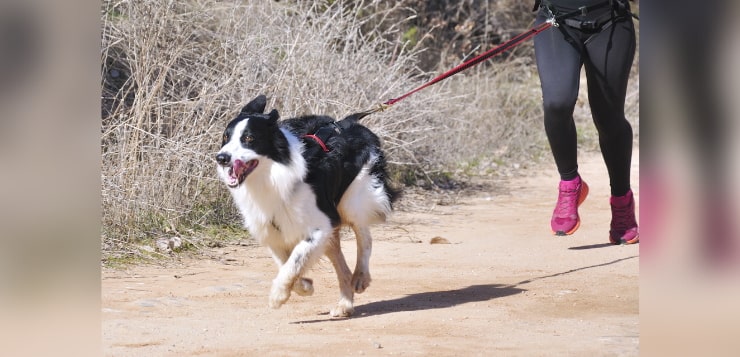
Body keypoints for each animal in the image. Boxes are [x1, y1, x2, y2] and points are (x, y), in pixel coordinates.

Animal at [214, 94, 398, 318]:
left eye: (249, 139)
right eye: (226, 137)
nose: (221, 158)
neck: (272, 175)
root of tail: (355, 125)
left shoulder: (319, 226)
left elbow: (295, 260)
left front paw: (277, 296)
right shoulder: (272, 230)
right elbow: (286, 263)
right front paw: (304, 286)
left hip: (352, 200)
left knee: (365, 237)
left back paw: (361, 277)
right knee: (343, 267)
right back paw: (344, 305)